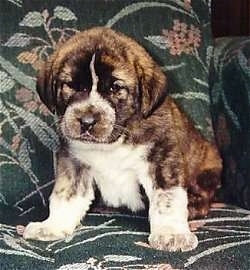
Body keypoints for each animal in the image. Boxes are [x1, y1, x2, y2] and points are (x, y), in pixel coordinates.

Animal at [23, 26, 222, 251]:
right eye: (71, 85)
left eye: (115, 88)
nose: (87, 122)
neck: (113, 143)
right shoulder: (74, 161)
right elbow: (66, 195)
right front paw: (52, 226)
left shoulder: (162, 157)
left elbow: (167, 198)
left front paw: (171, 233)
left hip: (210, 162)